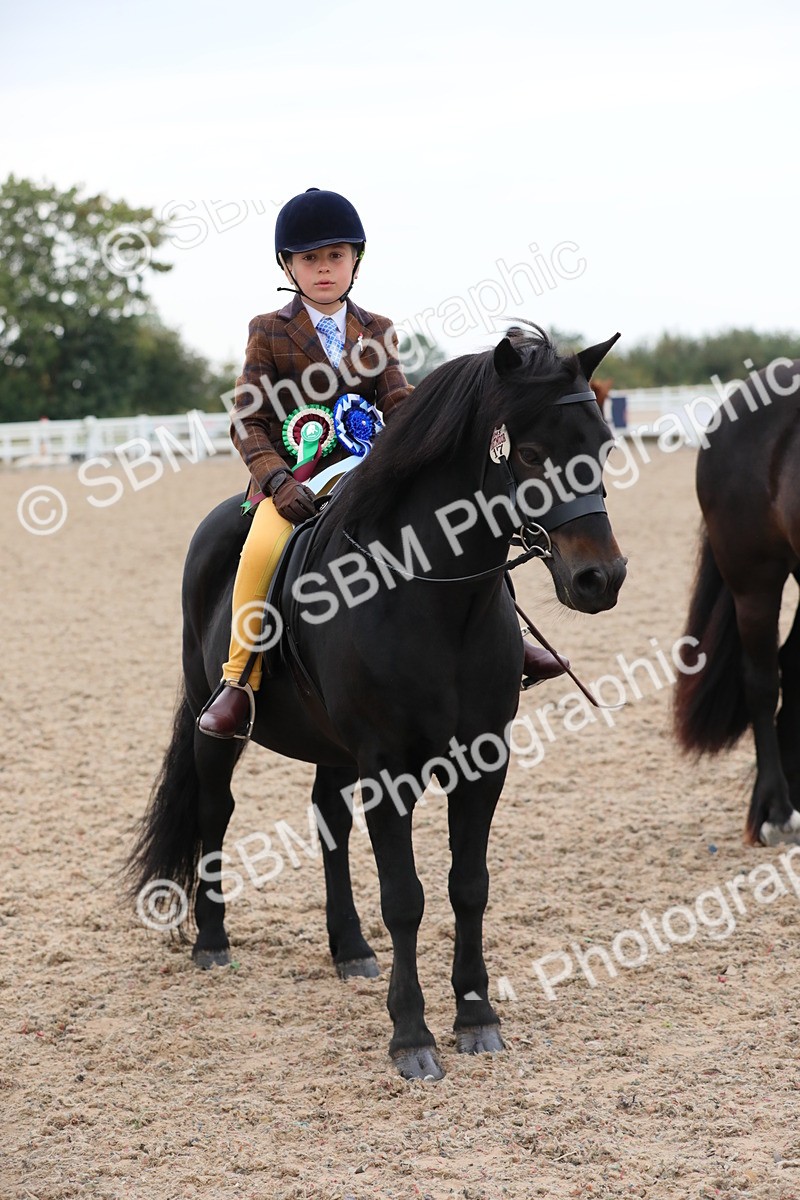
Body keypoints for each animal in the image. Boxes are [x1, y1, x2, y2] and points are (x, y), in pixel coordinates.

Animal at [127, 327, 627, 1081]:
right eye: (532, 454)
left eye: (602, 447)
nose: (602, 577)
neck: (437, 600)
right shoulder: (389, 770)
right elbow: (406, 898)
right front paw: (412, 1036)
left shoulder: (484, 761)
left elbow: (468, 885)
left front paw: (477, 1017)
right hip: (217, 727)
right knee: (216, 812)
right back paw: (212, 942)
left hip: (335, 747)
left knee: (328, 819)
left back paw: (350, 949)